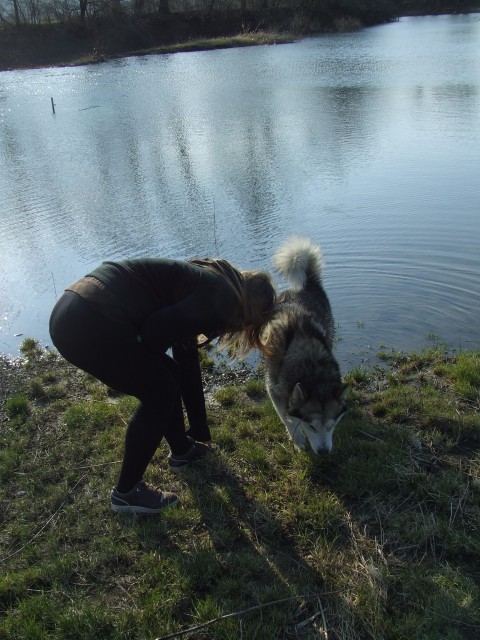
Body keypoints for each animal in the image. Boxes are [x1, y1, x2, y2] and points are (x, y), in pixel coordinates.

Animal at [262, 236, 344, 456]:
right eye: (311, 426)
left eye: (332, 426)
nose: (324, 452)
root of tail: (305, 286)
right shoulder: (274, 390)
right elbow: (287, 418)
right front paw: (297, 438)